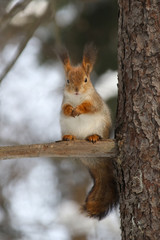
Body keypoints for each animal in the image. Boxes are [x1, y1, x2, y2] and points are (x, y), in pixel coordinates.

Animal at [59, 43, 119, 219]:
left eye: (86, 79)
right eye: (67, 80)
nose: (77, 90)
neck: (77, 98)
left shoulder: (94, 102)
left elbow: (88, 107)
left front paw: (78, 109)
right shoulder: (64, 102)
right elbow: (65, 108)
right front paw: (70, 110)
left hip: (101, 126)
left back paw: (94, 137)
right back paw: (69, 137)